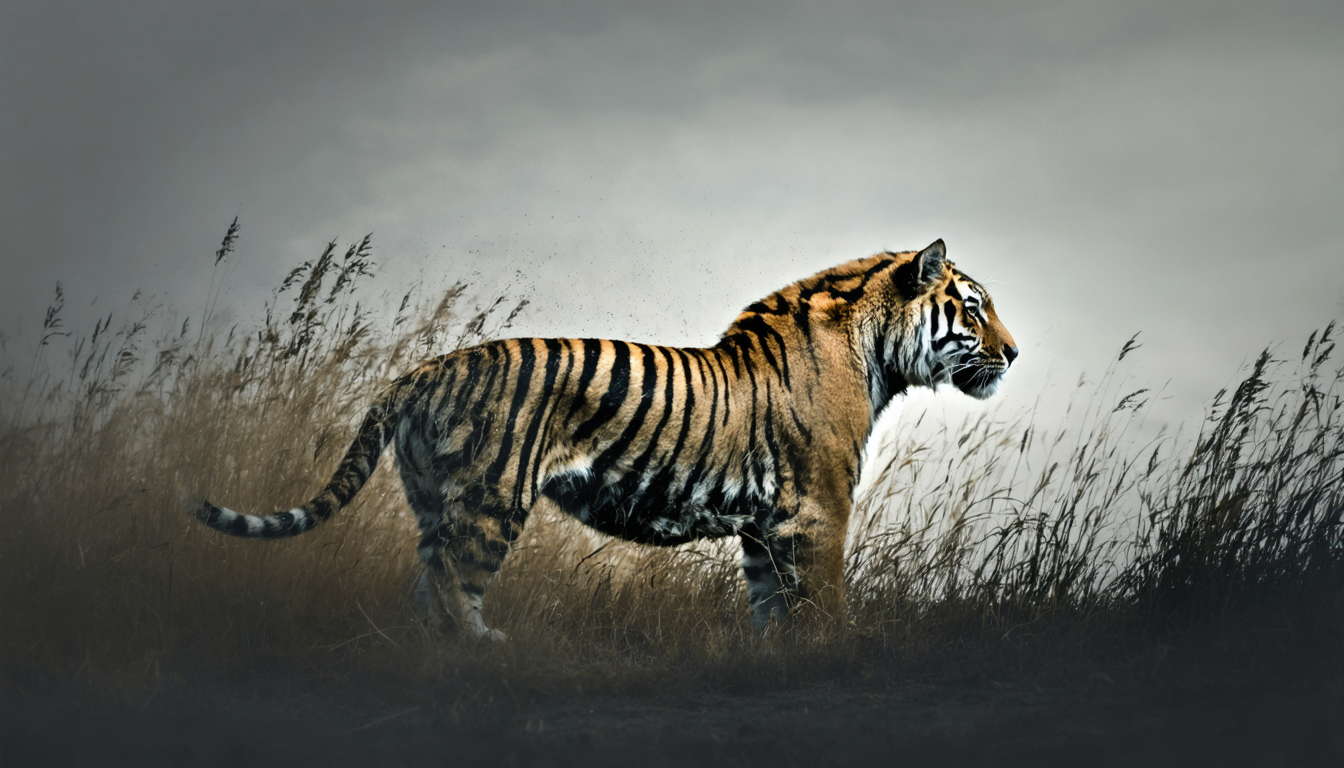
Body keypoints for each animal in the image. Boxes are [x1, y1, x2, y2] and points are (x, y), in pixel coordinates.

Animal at [194, 239, 1017, 639]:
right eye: (974, 309)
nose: (1013, 354)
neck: (877, 351)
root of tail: (422, 369)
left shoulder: (765, 526)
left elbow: (770, 608)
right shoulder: (817, 507)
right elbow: (824, 602)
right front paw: (833, 653)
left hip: (434, 501)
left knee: (426, 589)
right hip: (492, 499)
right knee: (453, 589)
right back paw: (490, 653)